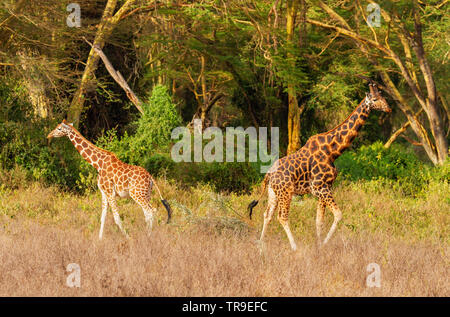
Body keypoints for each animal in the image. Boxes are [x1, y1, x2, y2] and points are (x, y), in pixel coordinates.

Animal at [248, 83, 392, 249]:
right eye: (375, 99)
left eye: (383, 97)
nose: (389, 109)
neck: (332, 151)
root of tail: (268, 175)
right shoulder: (321, 187)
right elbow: (338, 214)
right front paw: (323, 243)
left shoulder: (324, 188)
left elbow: (319, 221)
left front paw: (319, 246)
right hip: (286, 192)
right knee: (282, 217)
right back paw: (294, 247)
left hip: (273, 192)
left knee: (268, 215)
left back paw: (261, 244)